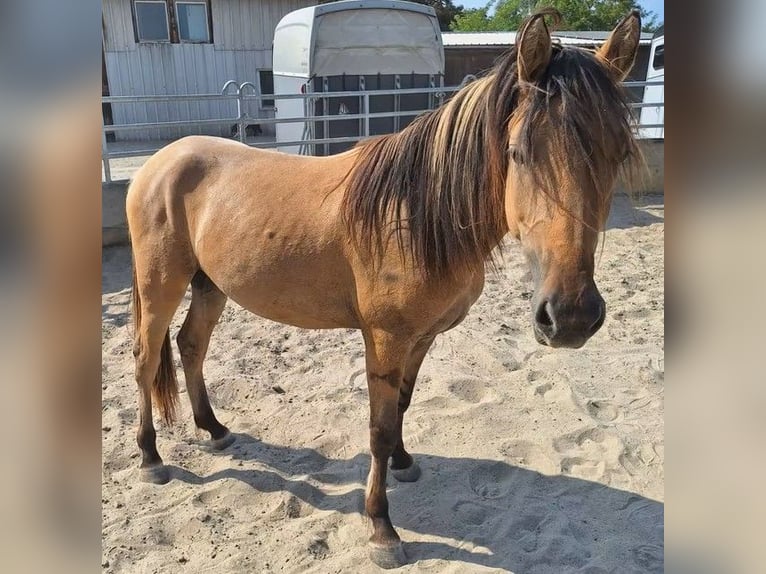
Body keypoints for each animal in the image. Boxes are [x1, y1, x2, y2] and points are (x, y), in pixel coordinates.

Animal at [125, 8, 641, 568]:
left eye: (618, 152)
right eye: (518, 153)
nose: (570, 317)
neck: (416, 216)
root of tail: (159, 162)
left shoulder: (423, 336)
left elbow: (402, 407)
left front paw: (404, 461)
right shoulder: (386, 339)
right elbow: (377, 427)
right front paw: (381, 528)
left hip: (210, 285)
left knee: (191, 346)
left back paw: (214, 430)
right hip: (161, 284)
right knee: (146, 358)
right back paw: (151, 457)